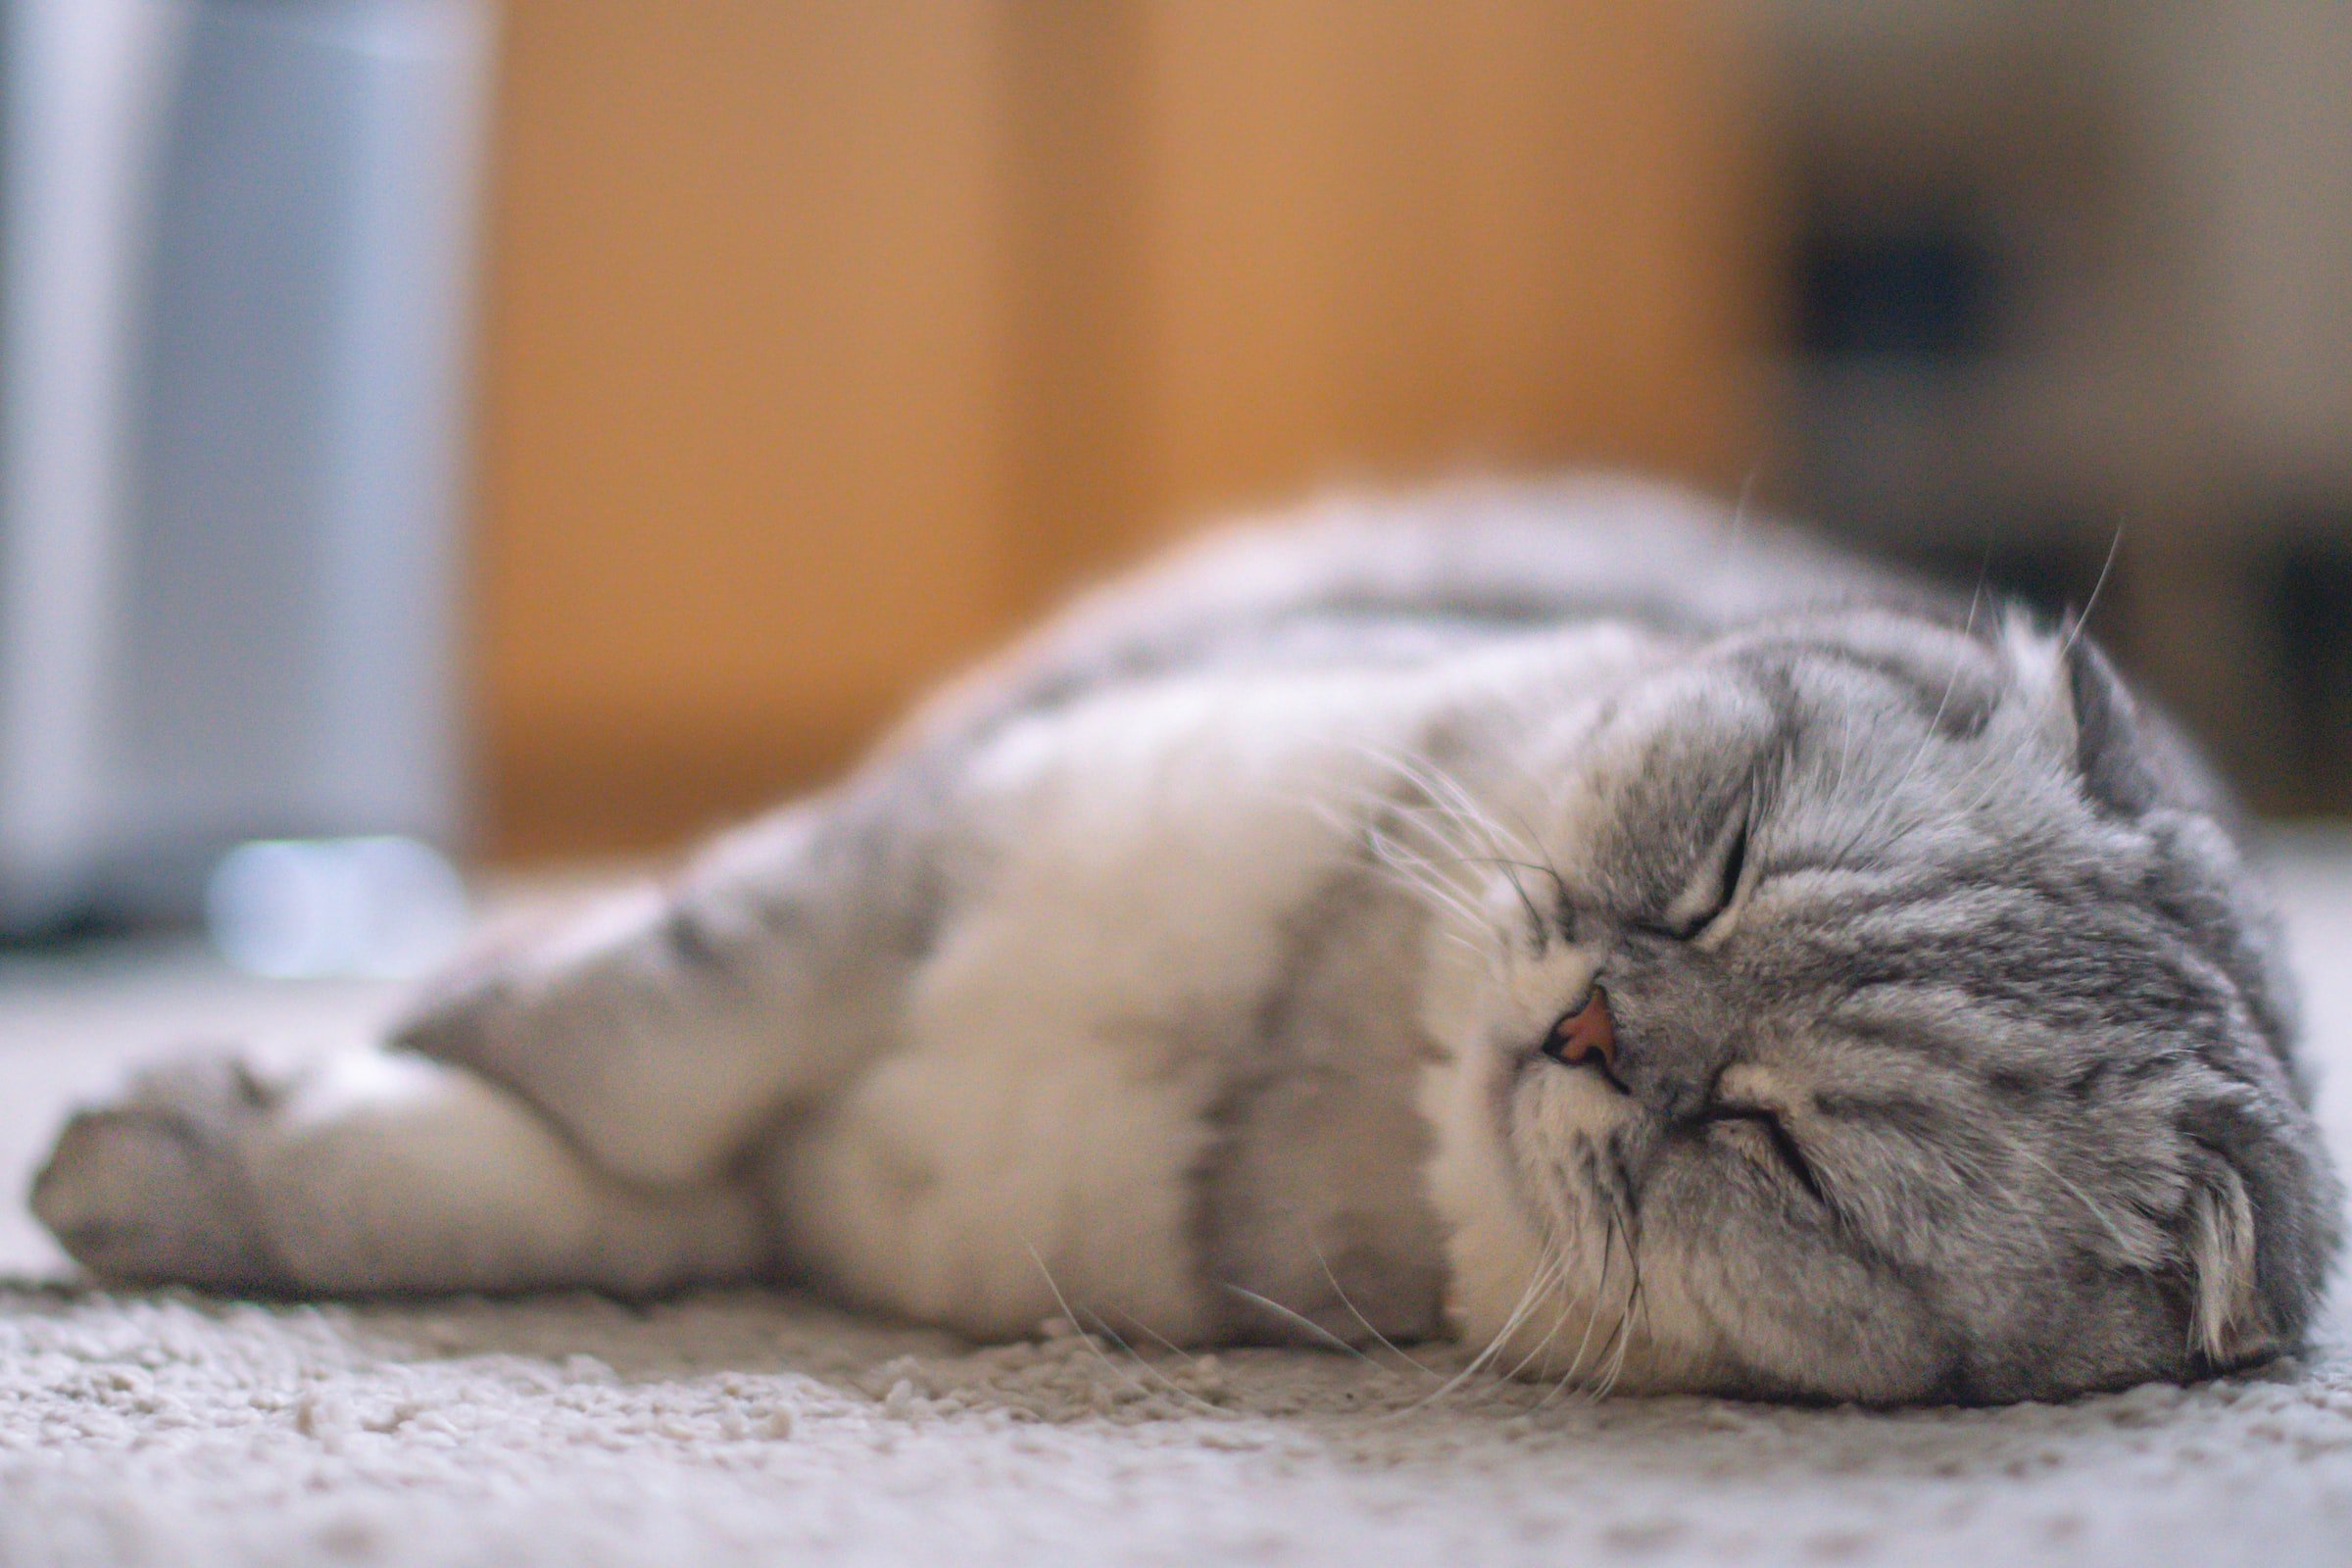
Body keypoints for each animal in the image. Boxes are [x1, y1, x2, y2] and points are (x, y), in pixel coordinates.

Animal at [27, 481, 2342, 1410]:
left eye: (1779, 1146)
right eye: (1724, 862)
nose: (1598, 1025)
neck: (1288, 1034)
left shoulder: (781, 1179)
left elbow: (516, 1176)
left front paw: (188, 1147)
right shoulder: (878, 872)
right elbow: (609, 1048)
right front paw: (246, 1098)